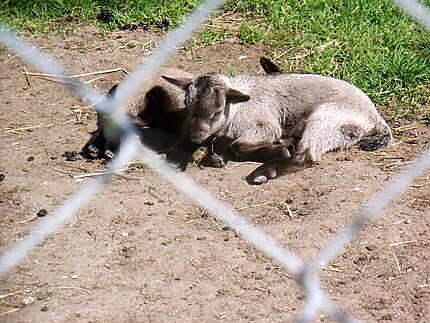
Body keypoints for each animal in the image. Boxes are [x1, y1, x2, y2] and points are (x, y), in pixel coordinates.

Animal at [163, 60, 392, 185]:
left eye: (217, 111)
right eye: (187, 106)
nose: (196, 136)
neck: (237, 108)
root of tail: (375, 117)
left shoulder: (265, 126)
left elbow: (237, 146)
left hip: (326, 117)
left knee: (306, 156)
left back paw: (265, 171)